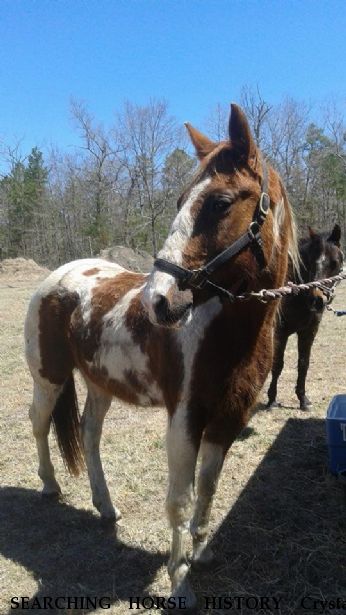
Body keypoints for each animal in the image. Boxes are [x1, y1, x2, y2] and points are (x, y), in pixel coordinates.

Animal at [25, 103, 298, 608]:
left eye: (220, 203)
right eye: (180, 200)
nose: (160, 300)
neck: (225, 331)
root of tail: (60, 276)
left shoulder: (228, 419)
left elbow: (208, 490)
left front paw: (203, 552)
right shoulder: (185, 418)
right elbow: (180, 501)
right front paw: (180, 584)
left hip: (100, 383)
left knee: (89, 434)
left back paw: (105, 506)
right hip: (48, 377)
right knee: (39, 423)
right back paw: (50, 485)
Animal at [266, 224, 342, 412]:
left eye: (335, 263)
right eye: (311, 262)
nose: (317, 300)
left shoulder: (309, 331)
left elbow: (303, 364)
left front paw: (303, 399)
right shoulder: (280, 332)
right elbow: (278, 364)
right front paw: (272, 399)